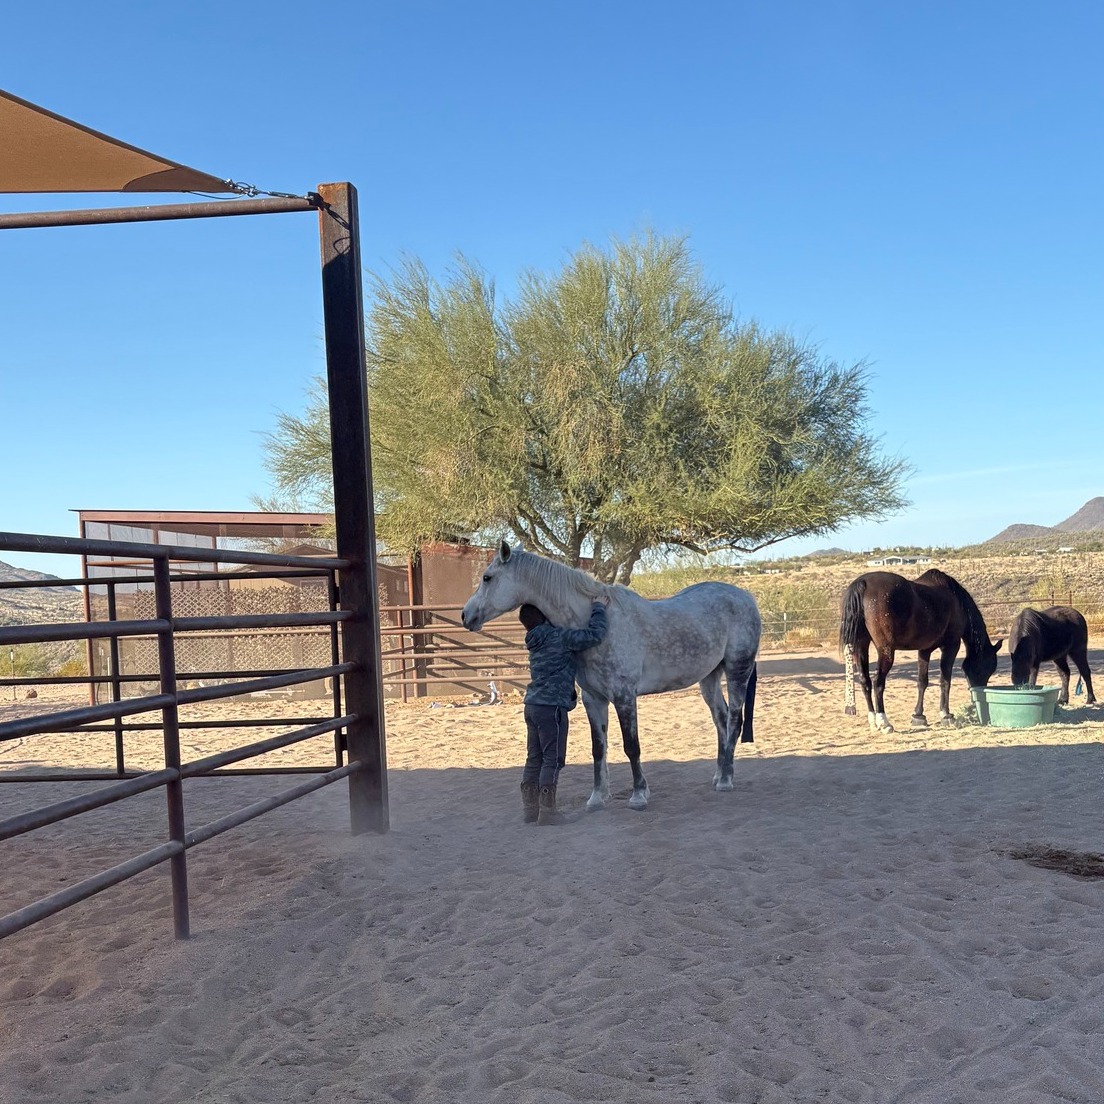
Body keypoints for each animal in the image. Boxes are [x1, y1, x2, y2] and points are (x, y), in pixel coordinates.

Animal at [460, 542, 762, 810]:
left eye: (487, 577)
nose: (465, 615)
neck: (593, 625)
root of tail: (746, 597)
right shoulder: (594, 699)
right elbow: (599, 748)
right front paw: (597, 798)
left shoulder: (624, 697)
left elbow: (632, 746)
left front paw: (638, 796)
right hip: (709, 677)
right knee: (721, 720)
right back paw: (719, 774)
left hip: (737, 670)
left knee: (734, 720)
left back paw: (726, 780)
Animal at [838, 568, 1002, 732]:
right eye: (987, 669)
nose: (976, 699)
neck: (956, 601)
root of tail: (862, 583)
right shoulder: (951, 646)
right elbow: (945, 681)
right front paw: (946, 715)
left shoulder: (924, 650)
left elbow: (922, 682)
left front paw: (918, 716)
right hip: (886, 651)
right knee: (878, 682)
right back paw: (884, 722)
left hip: (860, 646)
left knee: (865, 681)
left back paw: (873, 721)